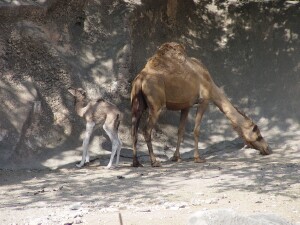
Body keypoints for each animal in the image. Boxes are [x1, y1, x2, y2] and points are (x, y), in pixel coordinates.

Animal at [130, 41, 270, 167]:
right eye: (258, 134)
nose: (268, 149)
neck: (211, 84)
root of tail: (140, 79)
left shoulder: (186, 105)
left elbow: (180, 130)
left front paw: (176, 157)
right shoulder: (204, 100)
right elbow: (196, 130)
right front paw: (198, 158)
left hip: (137, 104)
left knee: (134, 129)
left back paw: (136, 163)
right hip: (156, 105)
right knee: (146, 130)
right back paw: (154, 162)